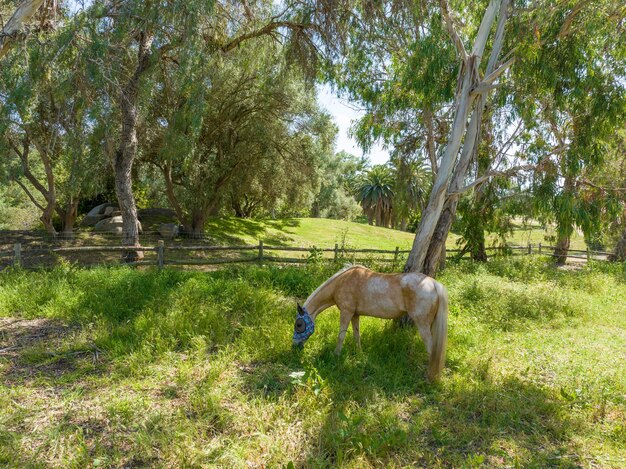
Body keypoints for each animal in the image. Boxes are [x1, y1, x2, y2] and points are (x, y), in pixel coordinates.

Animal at [294, 264, 448, 380]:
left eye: (299, 325)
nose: (295, 346)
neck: (342, 282)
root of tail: (433, 283)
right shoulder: (355, 315)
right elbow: (356, 336)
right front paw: (360, 355)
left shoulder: (346, 312)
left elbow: (341, 336)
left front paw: (336, 355)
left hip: (422, 325)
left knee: (431, 350)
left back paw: (429, 377)